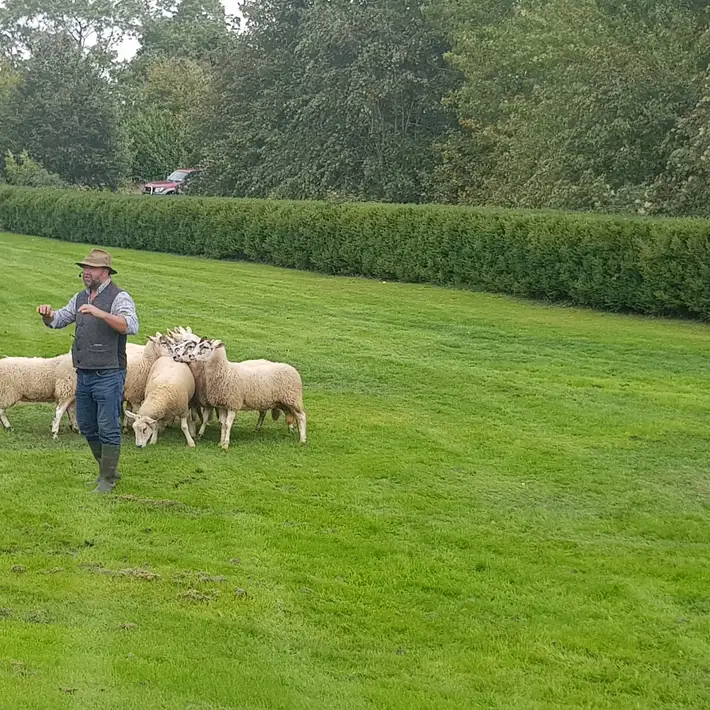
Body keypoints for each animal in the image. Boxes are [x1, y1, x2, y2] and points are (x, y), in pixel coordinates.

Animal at [171, 338, 306, 451]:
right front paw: (220, 442)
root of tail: (292, 369)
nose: (191, 355)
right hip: (284, 401)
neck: (225, 370)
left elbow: (227, 424)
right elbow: (223, 424)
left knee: (302, 416)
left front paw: (225, 444)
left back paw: (303, 439)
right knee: (291, 416)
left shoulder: (232, 403)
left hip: (293, 399)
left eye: (205, 347)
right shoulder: (222, 404)